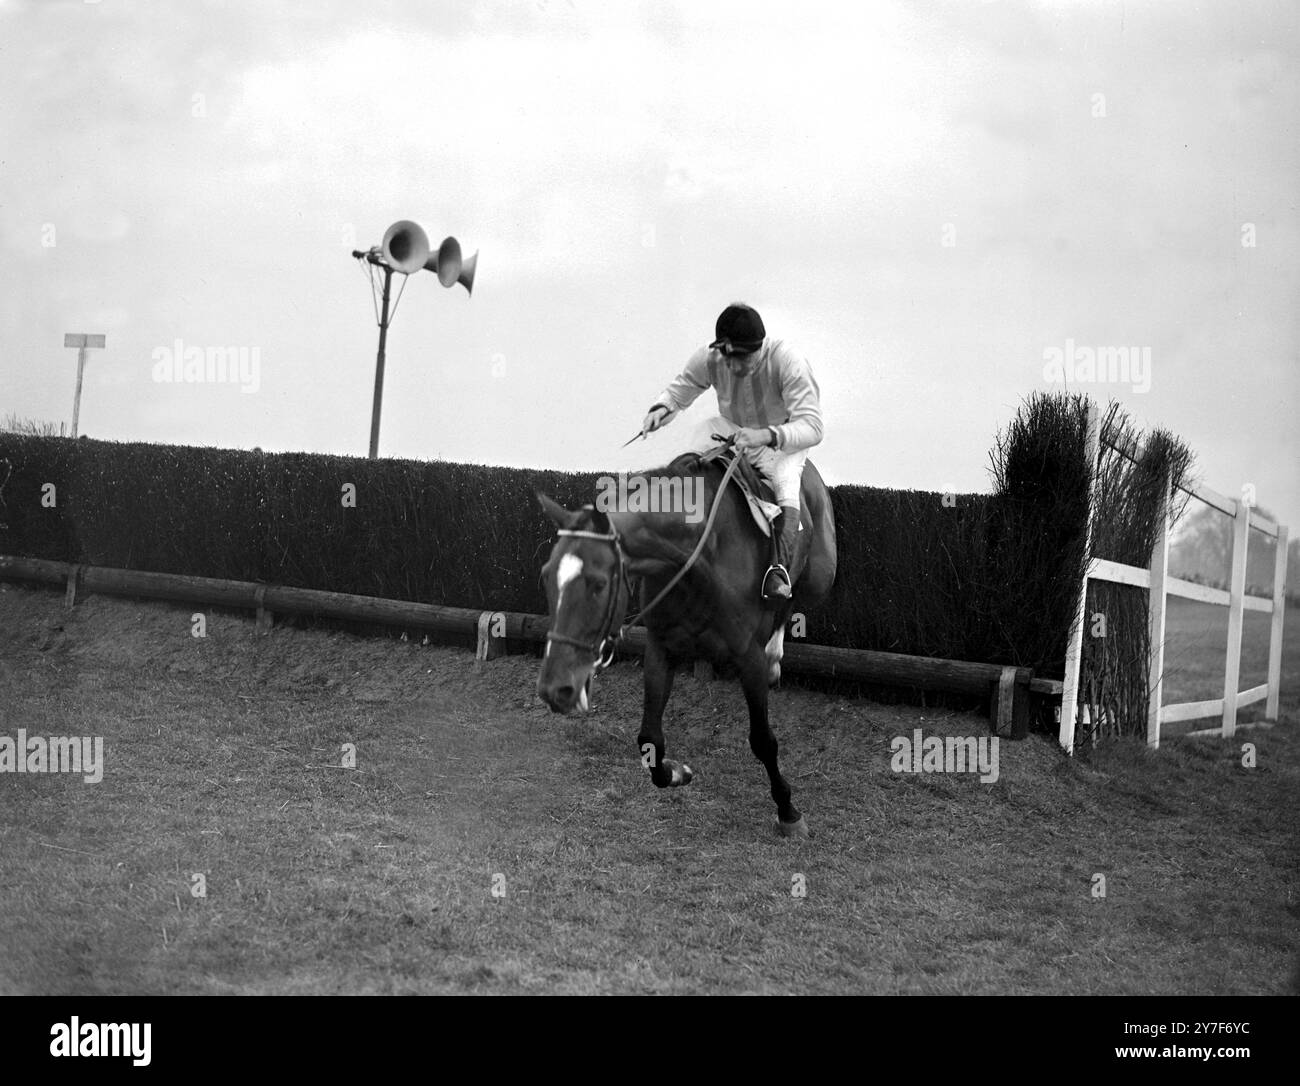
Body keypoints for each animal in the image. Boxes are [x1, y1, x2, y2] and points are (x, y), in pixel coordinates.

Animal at [533, 444, 837, 842]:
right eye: (546, 577)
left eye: (598, 584)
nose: (555, 689)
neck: (696, 555)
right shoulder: (661, 649)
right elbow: (649, 738)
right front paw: (677, 772)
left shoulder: (747, 657)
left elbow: (762, 740)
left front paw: (788, 810)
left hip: (822, 574)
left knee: (795, 596)